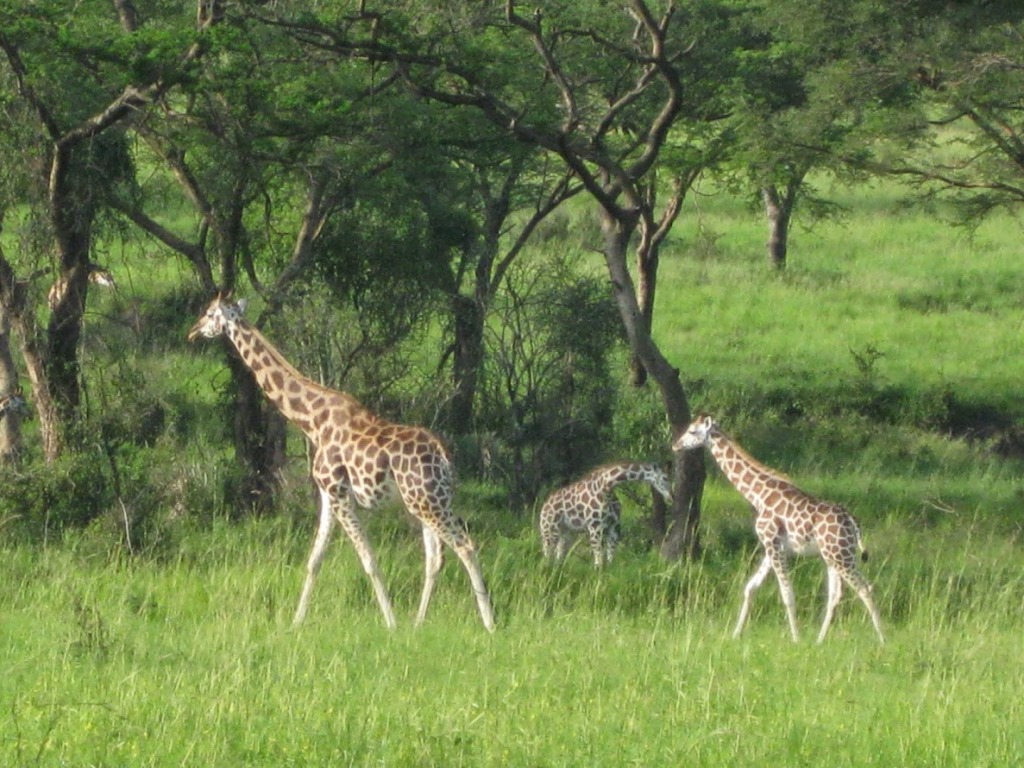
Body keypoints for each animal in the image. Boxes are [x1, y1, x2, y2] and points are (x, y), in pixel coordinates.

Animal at [192, 294, 499, 630]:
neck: (311, 421)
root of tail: (443, 455)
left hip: (427, 502)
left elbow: (369, 560)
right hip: (426, 501)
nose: (193, 332)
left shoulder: (339, 493)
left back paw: (489, 624)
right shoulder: (328, 494)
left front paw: (391, 623)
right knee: (435, 558)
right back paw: (419, 623)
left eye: (209, 313)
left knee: (465, 546)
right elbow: (315, 560)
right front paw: (296, 622)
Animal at [540, 460, 675, 569]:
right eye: (665, 478)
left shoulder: (614, 526)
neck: (607, 487)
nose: (671, 497)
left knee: (559, 555)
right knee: (547, 553)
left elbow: (610, 558)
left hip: (566, 532)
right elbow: (599, 560)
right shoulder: (595, 526)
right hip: (549, 530)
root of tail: (544, 507)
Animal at [675, 415, 884, 643]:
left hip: (841, 556)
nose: (676, 445)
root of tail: (853, 522)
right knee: (836, 595)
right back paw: (820, 641)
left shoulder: (772, 543)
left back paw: (884, 639)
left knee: (865, 588)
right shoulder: (774, 547)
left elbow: (787, 593)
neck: (758, 495)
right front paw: (736, 634)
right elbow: (751, 587)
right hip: (834, 555)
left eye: (693, 431)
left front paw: (796, 639)